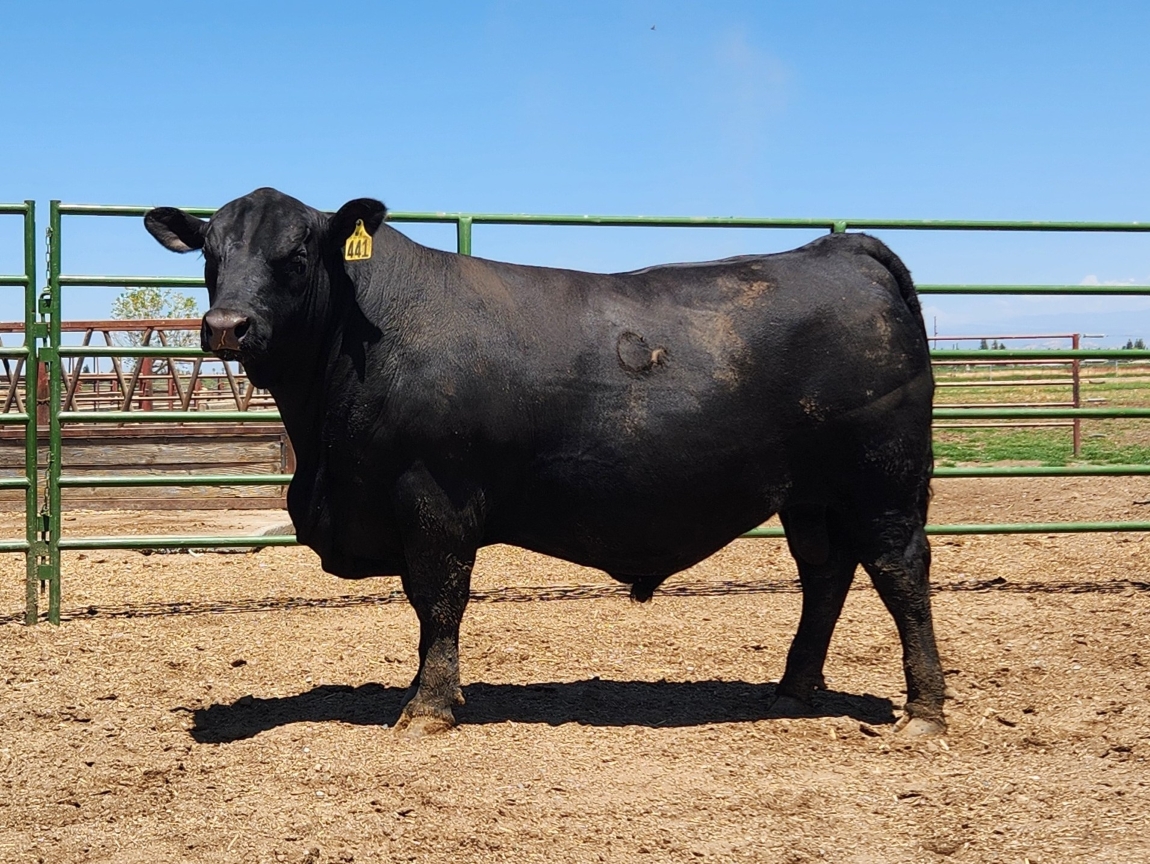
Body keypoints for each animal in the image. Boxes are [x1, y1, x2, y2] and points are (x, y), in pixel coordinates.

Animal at [144, 188, 946, 738]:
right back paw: (791, 690)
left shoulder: (432, 494)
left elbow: (438, 599)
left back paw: (925, 710)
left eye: (296, 255)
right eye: (212, 256)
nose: (226, 326)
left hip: (882, 480)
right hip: (810, 495)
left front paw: (429, 707)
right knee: (826, 574)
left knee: (898, 570)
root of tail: (841, 251)